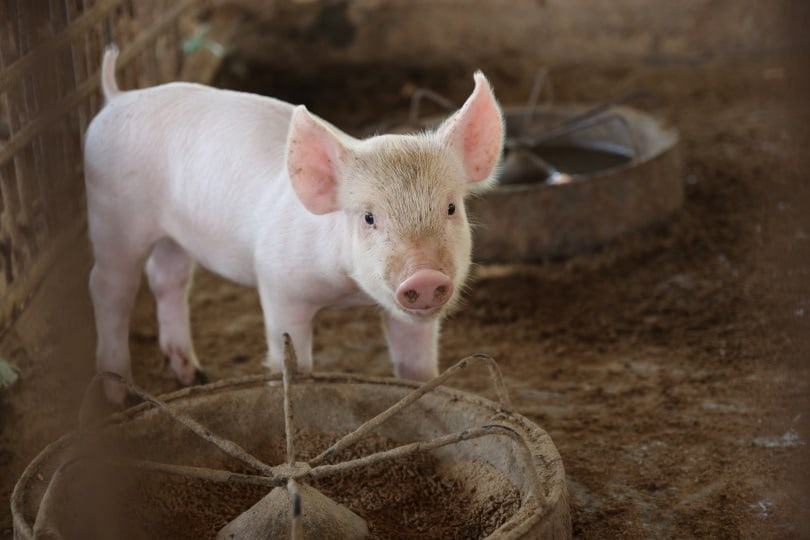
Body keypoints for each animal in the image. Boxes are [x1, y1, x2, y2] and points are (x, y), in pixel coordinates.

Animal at [84, 46, 504, 403]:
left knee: (168, 278)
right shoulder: (279, 286)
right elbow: (294, 367)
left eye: (450, 208)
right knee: (108, 288)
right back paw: (119, 395)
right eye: (368, 217)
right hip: (112, 217)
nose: (425, 276)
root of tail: (116, 96)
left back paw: (193, 376)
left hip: (173, 234)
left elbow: (417, 369)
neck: (347, 292)